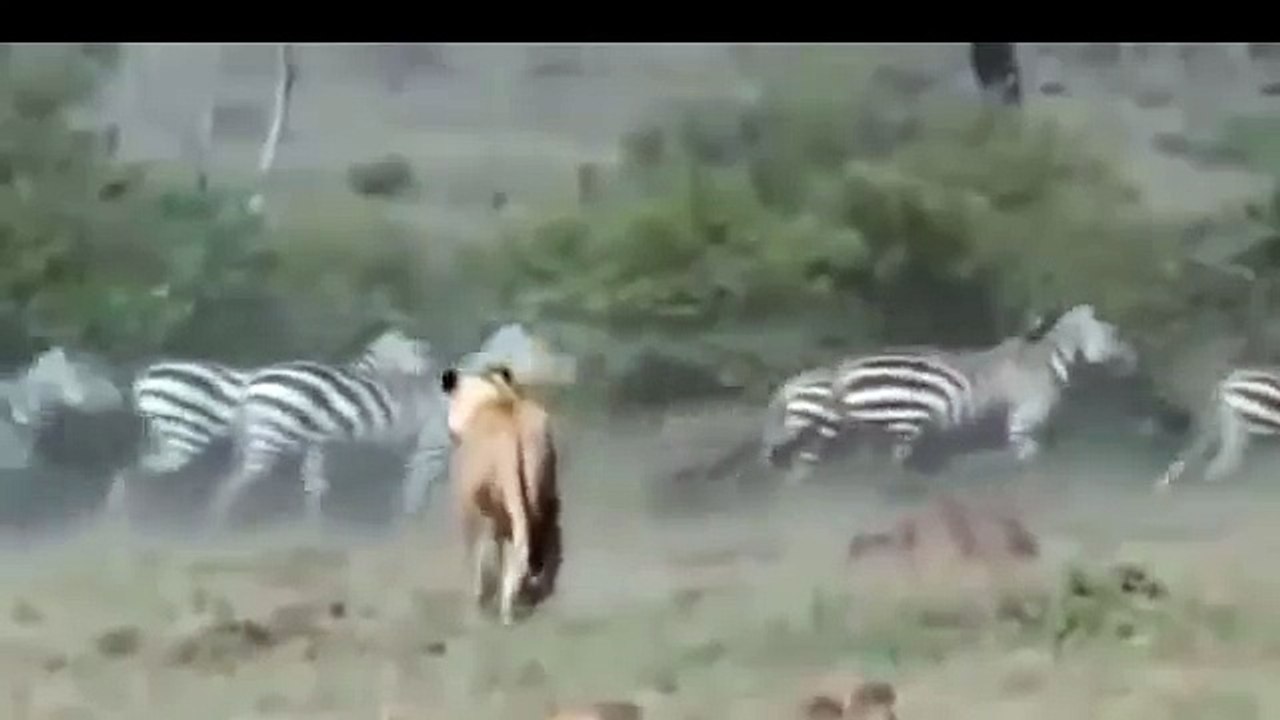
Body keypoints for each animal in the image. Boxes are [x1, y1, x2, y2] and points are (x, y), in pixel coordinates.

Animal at [206, 328, 449, 529]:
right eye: (408, 350)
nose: (429, 359)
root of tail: (250, 386)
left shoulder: (317, 443)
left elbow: (314, 482)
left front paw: (314, 526)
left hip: (255, 438)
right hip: (268, 439)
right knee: (232, 484)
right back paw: (216, 526)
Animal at [440, 363, 562, 625]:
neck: (494, 397)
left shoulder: (468, 505)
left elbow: (479, 553)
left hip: (486, 504)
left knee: (486, 549)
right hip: (540, 491)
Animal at [762, 304, 1138, 479]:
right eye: (1115, 334)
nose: (1135, 360)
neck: (1047, 359)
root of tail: (844, 369)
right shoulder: (1025, 417)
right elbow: (1030, 459)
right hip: (901, 422)